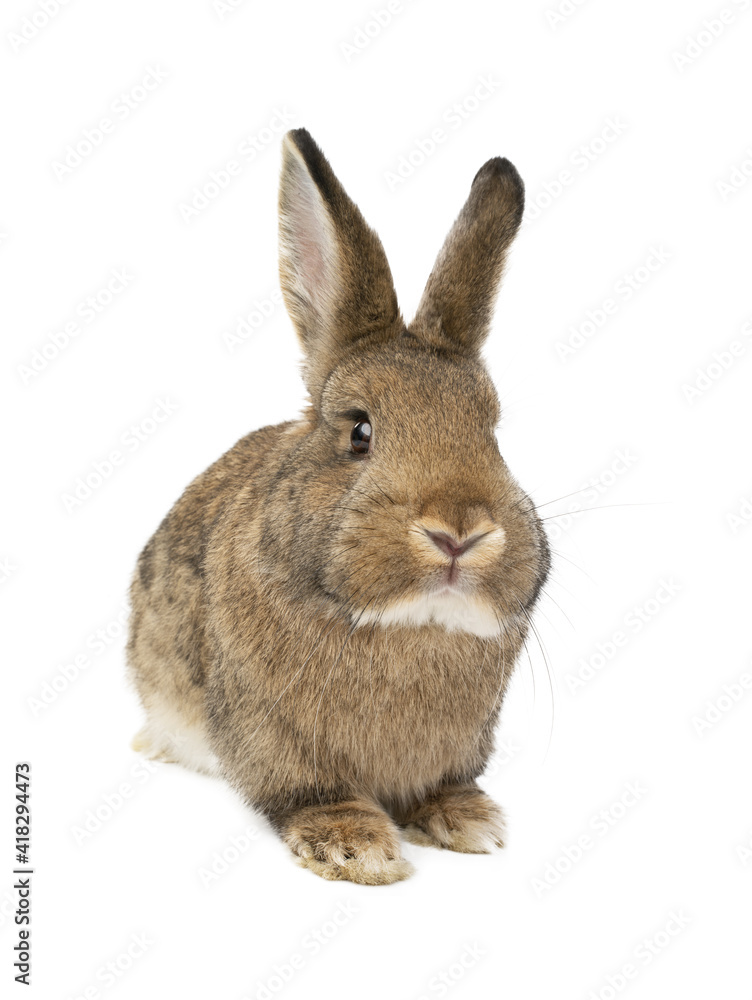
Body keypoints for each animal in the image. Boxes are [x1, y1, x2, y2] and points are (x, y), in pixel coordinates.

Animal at [127, 128, 550, 885]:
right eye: (360, 431)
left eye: (493, 433)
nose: (459, 533)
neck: (408, 629)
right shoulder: (274, 739)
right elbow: (314, 793)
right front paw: (358, 849)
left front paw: (470, 822)